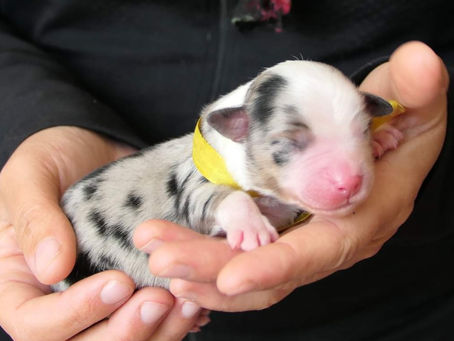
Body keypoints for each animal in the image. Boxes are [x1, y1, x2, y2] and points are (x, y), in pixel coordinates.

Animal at [54, 59, 400, 290]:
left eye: (363, 129)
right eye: (287, 144)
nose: (350, 182)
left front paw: (382, 138)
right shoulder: (195, 186)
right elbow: (220, 199)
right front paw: (251, 227)